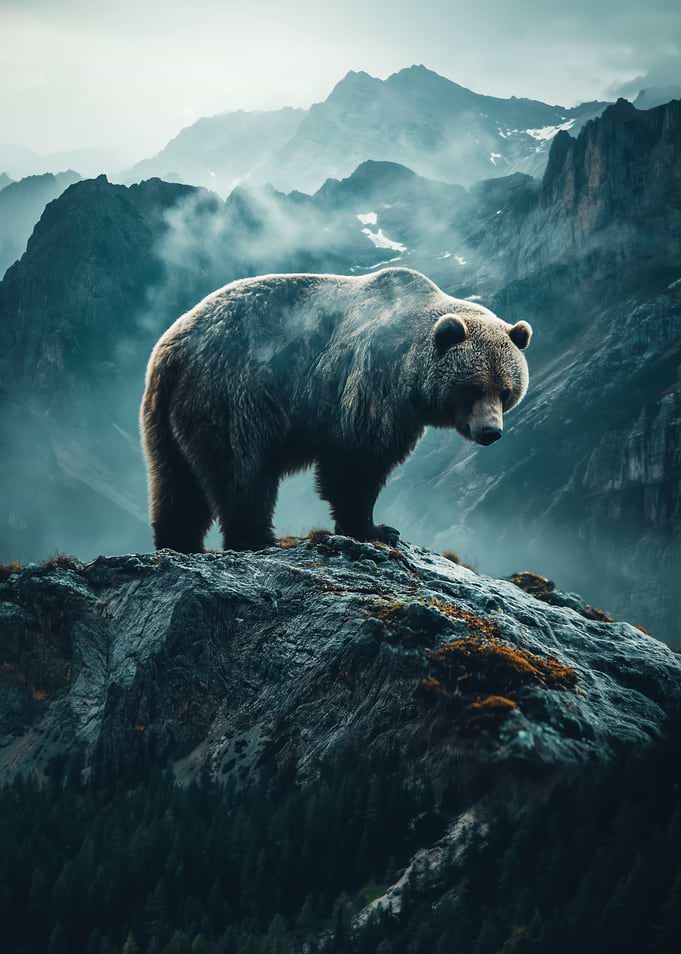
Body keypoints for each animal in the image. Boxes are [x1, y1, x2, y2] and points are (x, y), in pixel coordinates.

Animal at [140, 267, 532, 552]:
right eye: (473, 388)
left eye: (506, 391)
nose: (490, 432)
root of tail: (172, 350)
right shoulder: (372, 378)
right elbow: (358, 458)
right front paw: (376, 528)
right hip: (232, 391)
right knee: (240, 468)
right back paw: (256, 537)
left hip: (166, 416)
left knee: (176, 481)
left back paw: (179, 542)